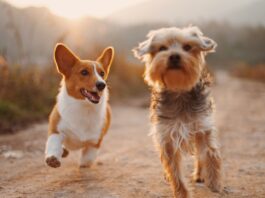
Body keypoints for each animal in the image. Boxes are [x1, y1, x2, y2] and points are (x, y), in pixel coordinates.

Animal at [133, 25, 222, 196]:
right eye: (162, 48)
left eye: (187, 47)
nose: (174, 56)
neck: (179, 90)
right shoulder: (167, 136)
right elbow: (174, 170)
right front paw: (182, 193)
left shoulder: (202, 127)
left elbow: (209, 153)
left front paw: (214, 182)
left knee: (199, 155)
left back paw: (200, 174)